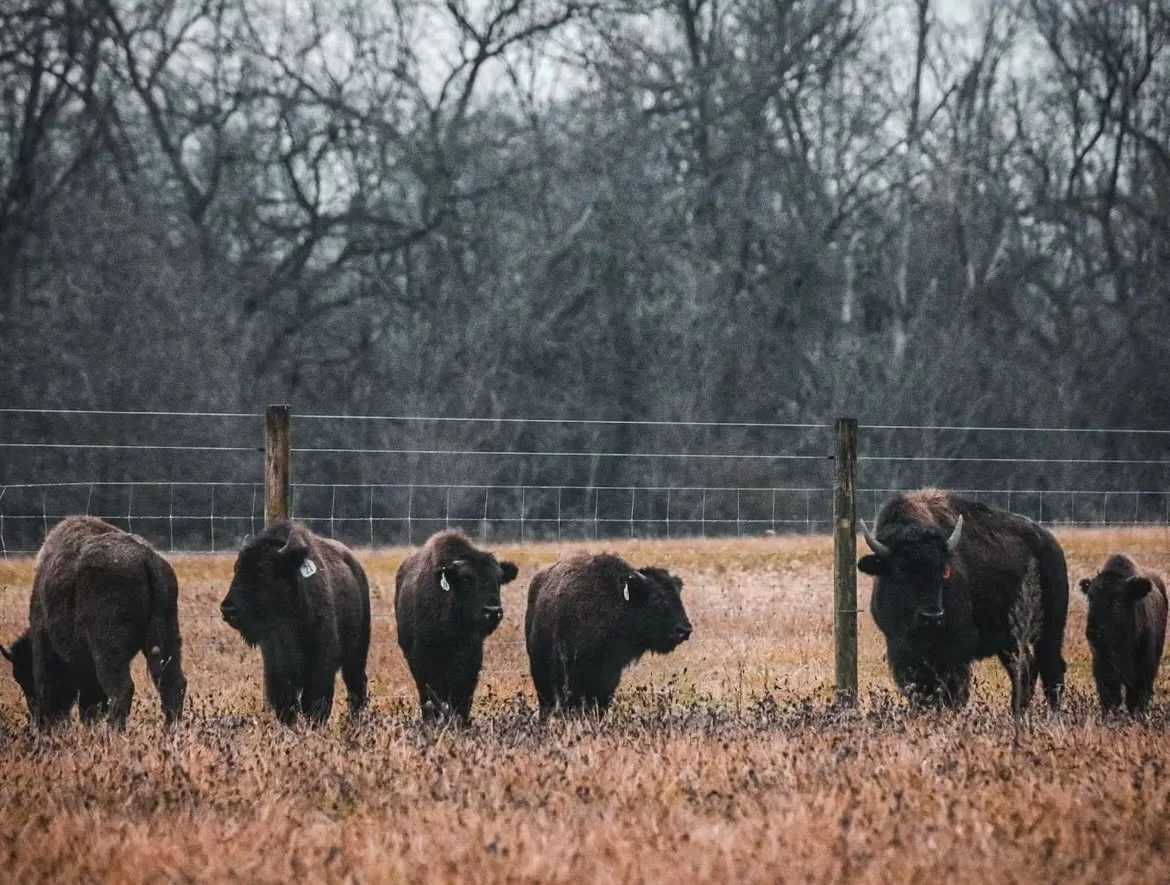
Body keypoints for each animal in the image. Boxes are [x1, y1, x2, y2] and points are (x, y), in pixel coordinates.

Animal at [0, 515, 187, 729]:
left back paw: (113, 730)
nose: (37, 720)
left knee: (121, 689)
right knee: (172, 683)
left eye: (22, 676)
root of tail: (147, 559)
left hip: (107, 650)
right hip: (165, 635)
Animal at [220, 521, 370, 725]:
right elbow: (285, 699)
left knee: (356, 685)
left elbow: (315, 700)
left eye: (263, 572)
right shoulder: (276, 662)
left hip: (357, 653)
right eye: (237, 568)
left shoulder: (322, 662)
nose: (227, 609)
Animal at [394, 530, 518, 723]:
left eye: (499, 579)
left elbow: (463, 694)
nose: (492, 611)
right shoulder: (423, 659)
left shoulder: (471, 659)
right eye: (466, 578)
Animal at [858, 489, 1069, 714]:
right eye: (901, 568)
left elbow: (953, 687)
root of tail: (1051, 542)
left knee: (1051, 667)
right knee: (1024, 668)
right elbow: (917, 685)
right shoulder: (900, 645)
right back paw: (1016, 711)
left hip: (1049, 629)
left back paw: (1050, 712)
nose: (931, 616)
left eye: (944, 571)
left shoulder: (957, 647)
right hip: (1010, 638)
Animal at [1080, 553, 1167, 715]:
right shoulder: (1102, 668)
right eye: (1090, 597)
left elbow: (1136, 698)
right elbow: (1111, 697)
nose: (1094, 632)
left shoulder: (1144, 669)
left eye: (1119, 600)